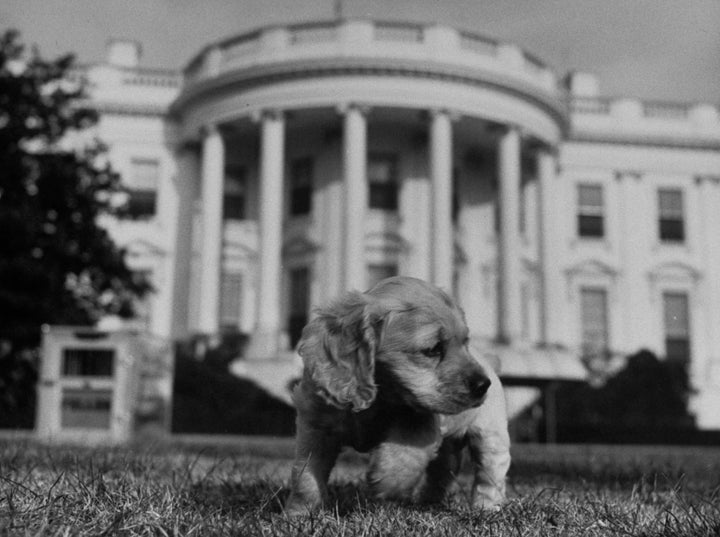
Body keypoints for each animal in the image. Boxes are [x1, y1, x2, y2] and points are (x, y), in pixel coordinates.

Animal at [284, 276, 510, 516]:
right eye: (434, 349)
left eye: (466, 342)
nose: (483, 384)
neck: (381, 396)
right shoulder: (316, 425)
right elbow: (305, 474)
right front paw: (298, 513)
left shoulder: (419, 423)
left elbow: (403, 457)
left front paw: (384, 484)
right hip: (450, 450)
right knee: (442, 471)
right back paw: (428, 501)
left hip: (491, 436)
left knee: (490, 474)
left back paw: (486, 508)